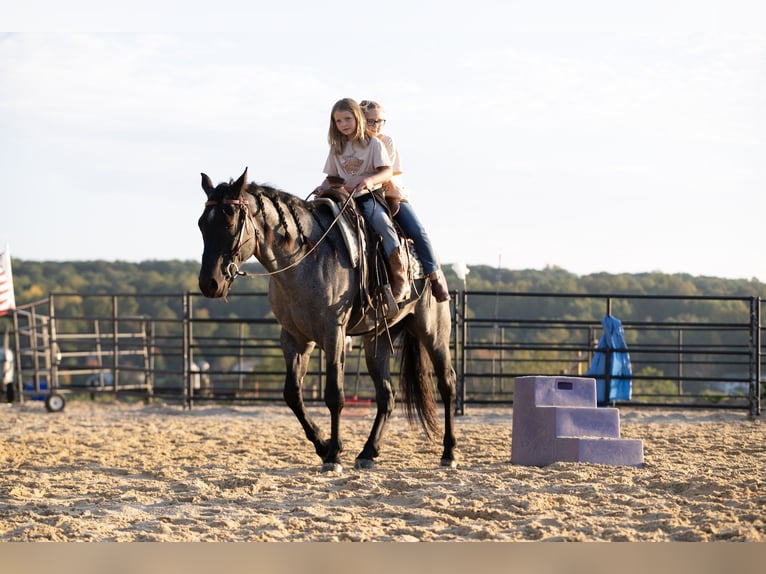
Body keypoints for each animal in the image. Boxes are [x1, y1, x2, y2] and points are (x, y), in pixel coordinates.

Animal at [197, 168, 457, 472]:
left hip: (433, 332)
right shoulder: (294, 338)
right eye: (202, 225)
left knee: (447, 384)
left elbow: (334, 395)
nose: (209, 284)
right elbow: (292, 394)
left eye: (229, 222)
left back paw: (449, 452)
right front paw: (323, 446)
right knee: (387, 395)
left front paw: (333, 455)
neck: (304, 258)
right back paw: (368, 452)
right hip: (378, 340)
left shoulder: (333, 335)